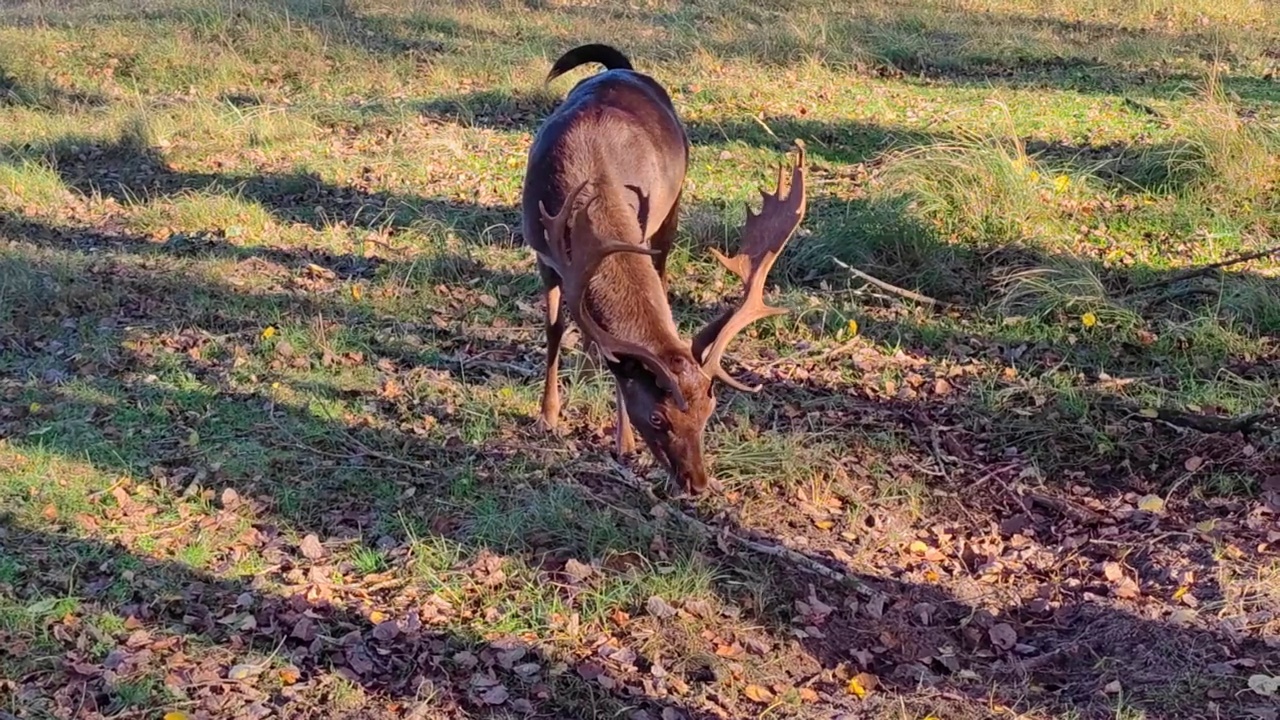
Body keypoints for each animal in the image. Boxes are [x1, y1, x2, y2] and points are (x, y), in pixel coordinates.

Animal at [517, 43, 798, 491]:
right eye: (657, 417)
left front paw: (624, 443)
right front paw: (548, 415)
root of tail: (622, 69)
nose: (698, 483)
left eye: (708, 412)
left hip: (672, 209)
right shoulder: (543, 253)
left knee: (661, 276)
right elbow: (555, 329)